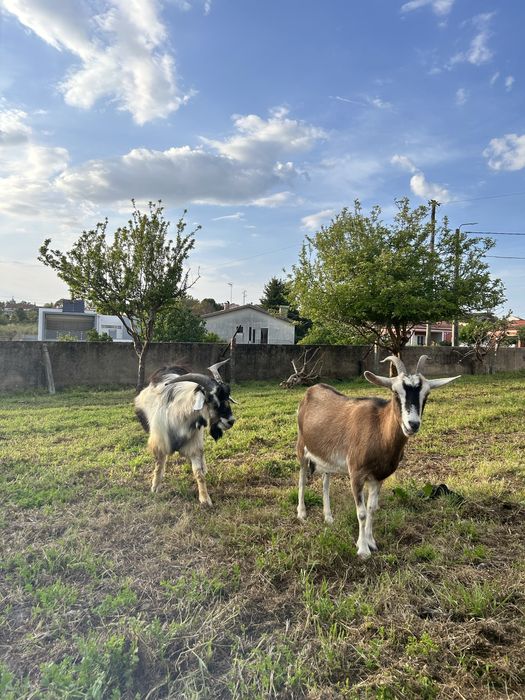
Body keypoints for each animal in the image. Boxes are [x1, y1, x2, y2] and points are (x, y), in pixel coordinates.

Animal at [134, 360, 236, 505]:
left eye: (227, 397)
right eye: (211, 399)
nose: (231, 421)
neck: (179, 413)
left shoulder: (194, 442)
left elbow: (198, 473)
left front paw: (205, 499)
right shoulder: (160, 441)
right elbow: (159, 465)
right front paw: (155, 487)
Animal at [296, 355, 460, 557]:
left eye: (426, 395)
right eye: (395, 393)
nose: (412, 424)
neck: (378, 429)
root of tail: (311, 390)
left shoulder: (378, 477)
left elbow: (372, 509)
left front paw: (371, 541)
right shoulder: (357, 474)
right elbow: (361, 513)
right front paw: (363, 550)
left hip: (327, 457)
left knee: (326, 482)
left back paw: (328, 517)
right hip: (301, 447)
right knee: (302, 478)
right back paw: (302, 513)